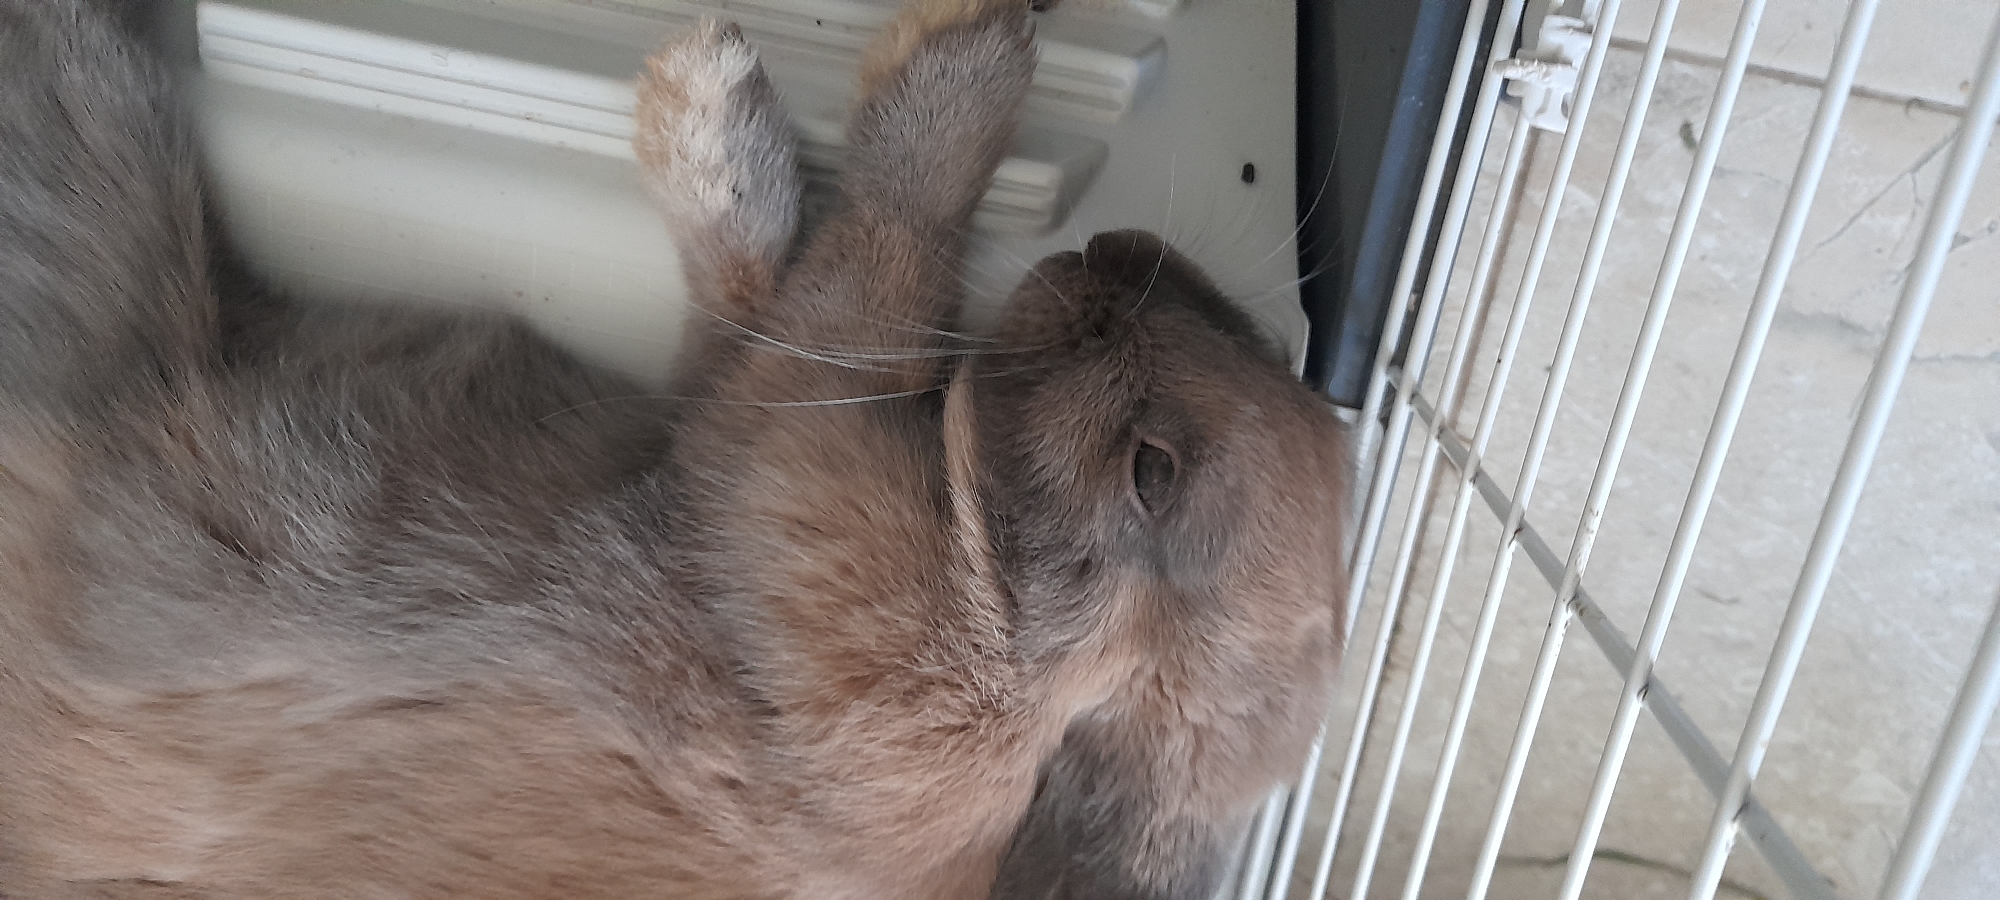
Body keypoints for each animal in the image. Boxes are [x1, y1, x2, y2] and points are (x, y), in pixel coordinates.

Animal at [0, 0, 1352, 898]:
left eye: (1152, 472)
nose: (1109, 254)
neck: (1034, 681)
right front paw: (718, 115)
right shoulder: (708, 436)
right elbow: (753, 307)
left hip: (94, 199)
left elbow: (867, 277)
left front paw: (951, 56)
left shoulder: (791, 501)